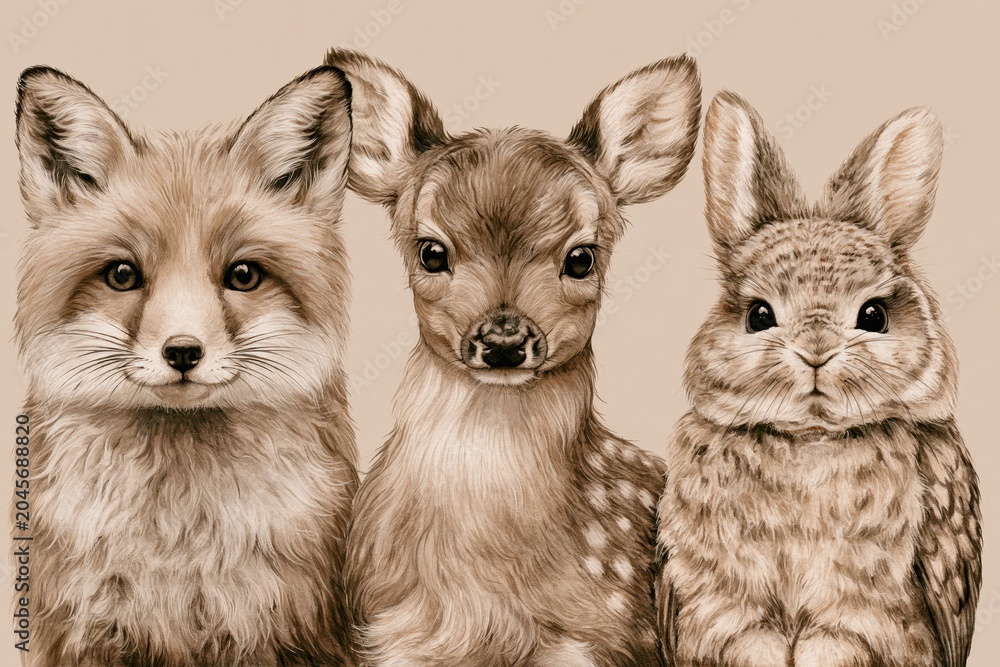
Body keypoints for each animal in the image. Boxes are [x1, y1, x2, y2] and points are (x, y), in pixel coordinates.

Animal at [655, 91, 982, 667]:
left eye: (873, 315)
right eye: (759, 315)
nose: (816, 352)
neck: (810, 437)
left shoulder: (857, 623)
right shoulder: (728, 614)